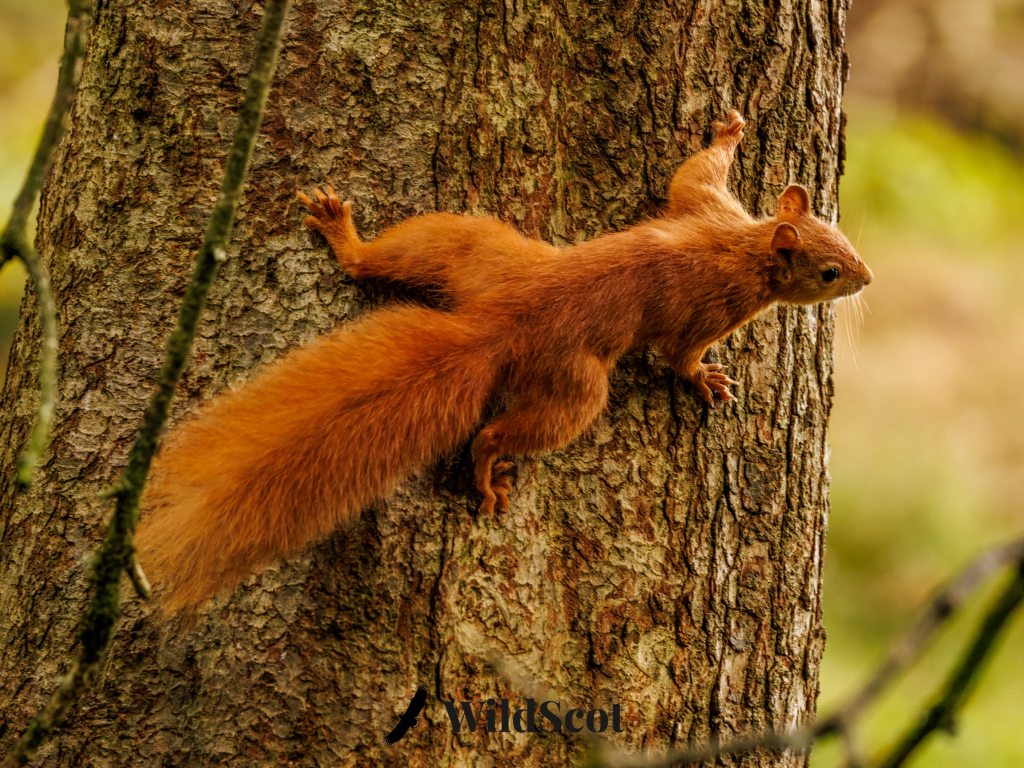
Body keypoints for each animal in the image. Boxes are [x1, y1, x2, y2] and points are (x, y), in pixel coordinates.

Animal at [135, 111, 872, 614]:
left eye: (842, 234)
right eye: (829, 270)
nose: (866, 278)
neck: (747, 246)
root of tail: (497, 325)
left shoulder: (708, 206)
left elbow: (691, 172)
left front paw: (729, 132)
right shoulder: (714, 302)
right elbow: (681, 353)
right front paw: (708, 381)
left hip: (470, 245)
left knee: (381, 260)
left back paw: (346, 238)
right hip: (573, 388)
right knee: (502, 430)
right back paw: (489, 472)